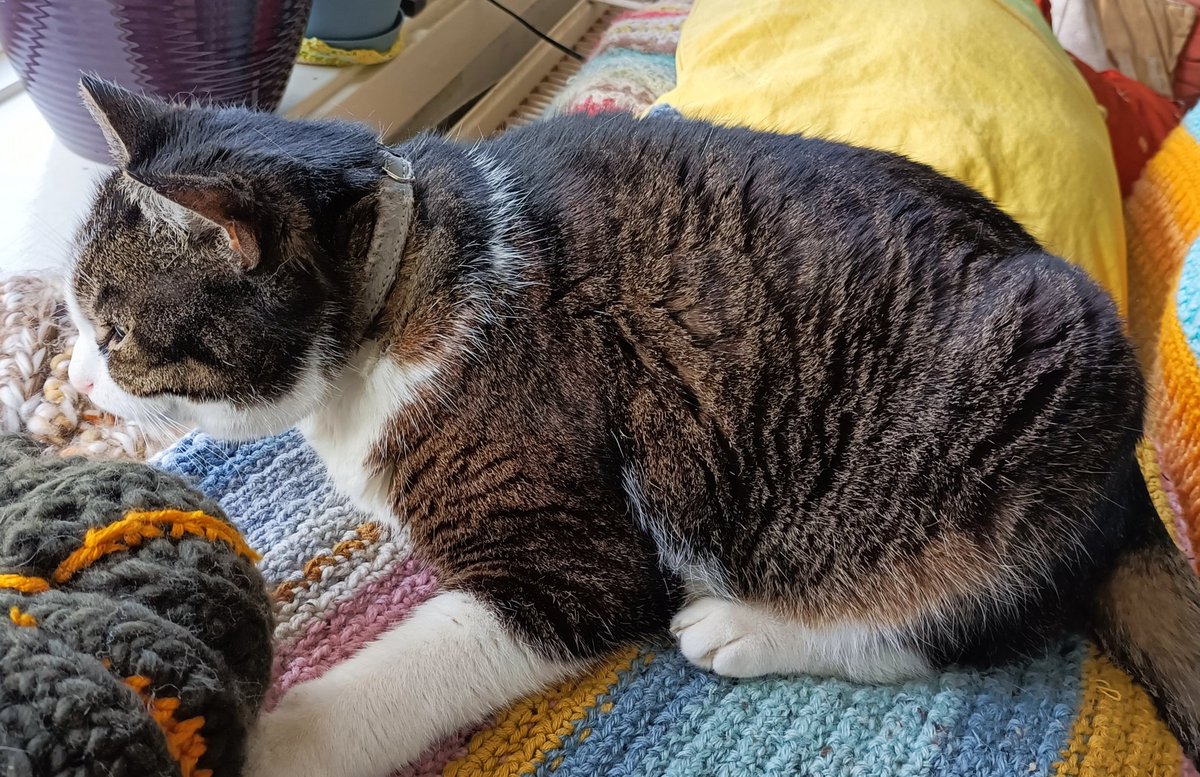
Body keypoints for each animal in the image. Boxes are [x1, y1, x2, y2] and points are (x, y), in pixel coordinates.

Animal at [68, 74, 1200, 777]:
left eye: (113, 328)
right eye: (79, 316)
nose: (75, 380)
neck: (403, 274)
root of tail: (1129, 486)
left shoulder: (569, 558)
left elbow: (417, 667)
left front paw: (275, 740)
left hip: (1000, 437)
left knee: (965, 624)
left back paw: (741, 627)